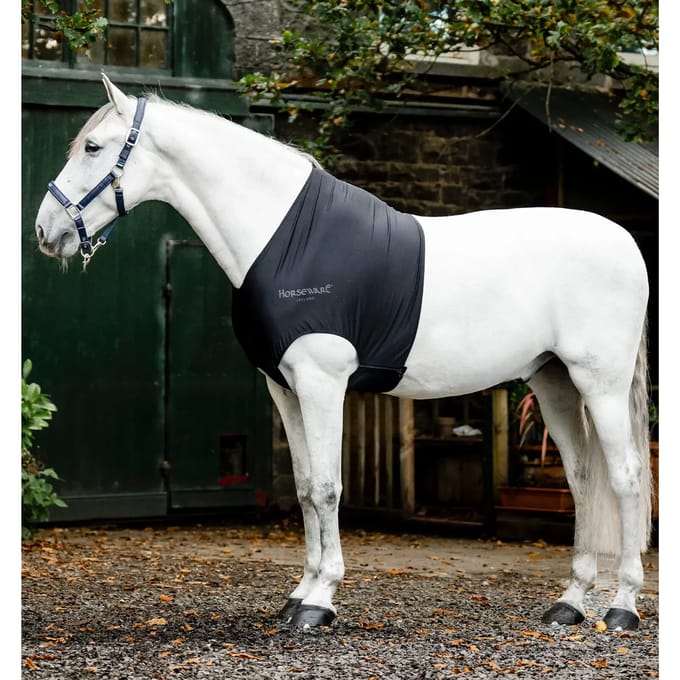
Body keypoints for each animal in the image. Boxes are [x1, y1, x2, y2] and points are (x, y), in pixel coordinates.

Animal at [35, 74, 652, 632]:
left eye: (93, 148)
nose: (45, 231)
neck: (282, 238)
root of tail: (625, 240)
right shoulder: (284, 388)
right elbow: (308, 488)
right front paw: (299, 594)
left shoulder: (322, 383)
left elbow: (330, 487)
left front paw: (320, 601)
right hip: (553, 382)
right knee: (581, 478)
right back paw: (570, 604)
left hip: (599, 382)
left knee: (624, 477)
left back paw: (622, 606)